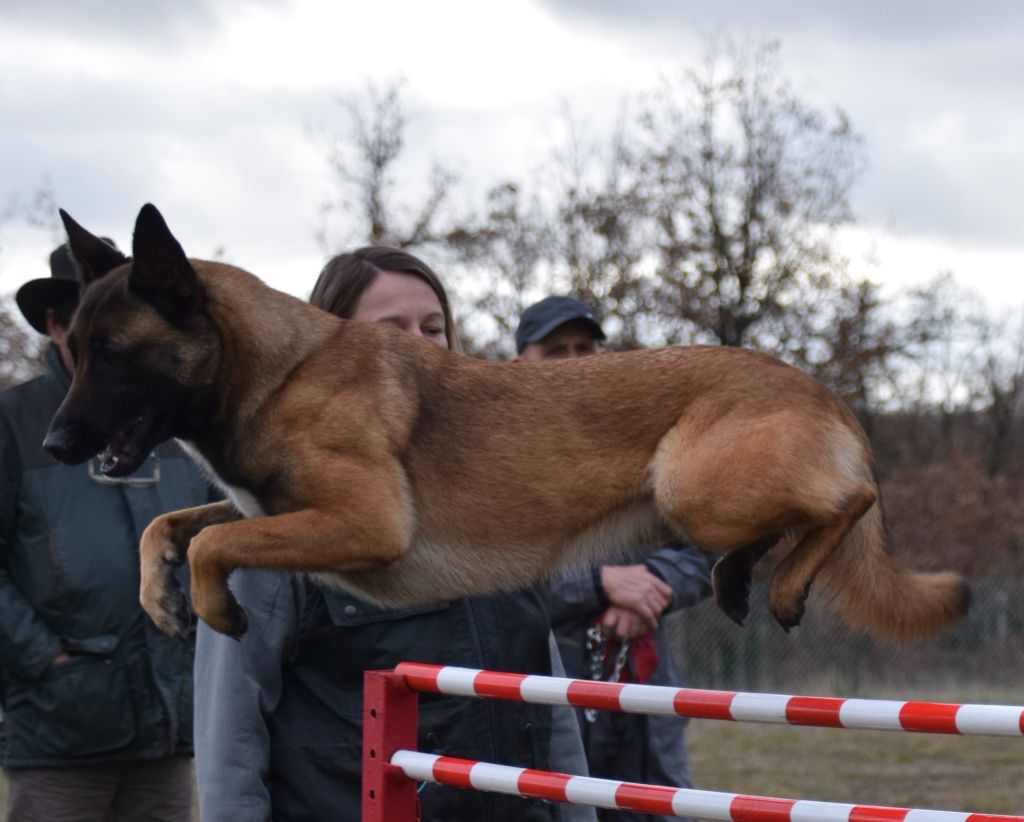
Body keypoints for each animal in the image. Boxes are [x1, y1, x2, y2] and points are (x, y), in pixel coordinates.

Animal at [41, 205, 966, 642]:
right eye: (72, 349)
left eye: (114, 355)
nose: (53, 445)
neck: (275, 368)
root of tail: (819, 389)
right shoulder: (281, 507)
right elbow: (173, 523)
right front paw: (160, 599)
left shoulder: (360, 520)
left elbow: (212, 542)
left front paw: (214, 607)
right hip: (702, 497)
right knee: (801, 516)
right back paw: (743, 578)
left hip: (694, 483)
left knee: (847, 501)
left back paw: (779, 584)